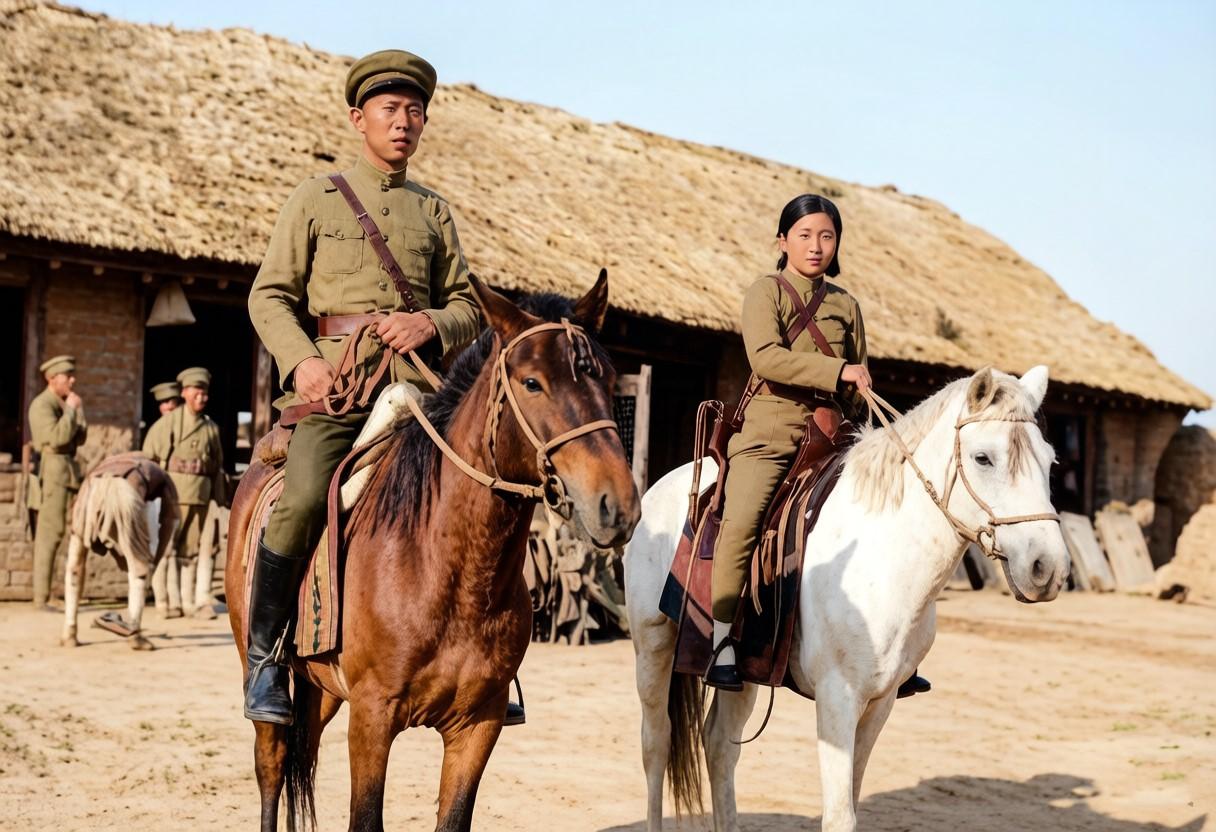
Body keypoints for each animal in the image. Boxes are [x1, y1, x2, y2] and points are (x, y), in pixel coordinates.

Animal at [61, 452, 180, 651]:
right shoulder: (167, 491)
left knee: (74, 570)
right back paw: (134, 636)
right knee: (140, 570)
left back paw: (71, 635)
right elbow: (167, 524)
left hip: (82, 519)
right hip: (127, 515)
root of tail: (107, 483)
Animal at [225, 272, 640, 832]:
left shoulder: (479, 725)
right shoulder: (373, 718)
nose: (616, 505)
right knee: (271, 766)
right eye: (532, 382)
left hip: (323, 689)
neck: (451, 574)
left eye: (609, 379)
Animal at [624, 366, 1070, 832]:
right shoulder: (837, 698)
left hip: (742, 673)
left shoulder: (881, 701)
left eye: (1050, 461)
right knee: (656, 743)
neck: (883, 550)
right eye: (984, 458)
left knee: (719, 746)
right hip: (653, 647)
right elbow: (840, 814)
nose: (1048, 567)